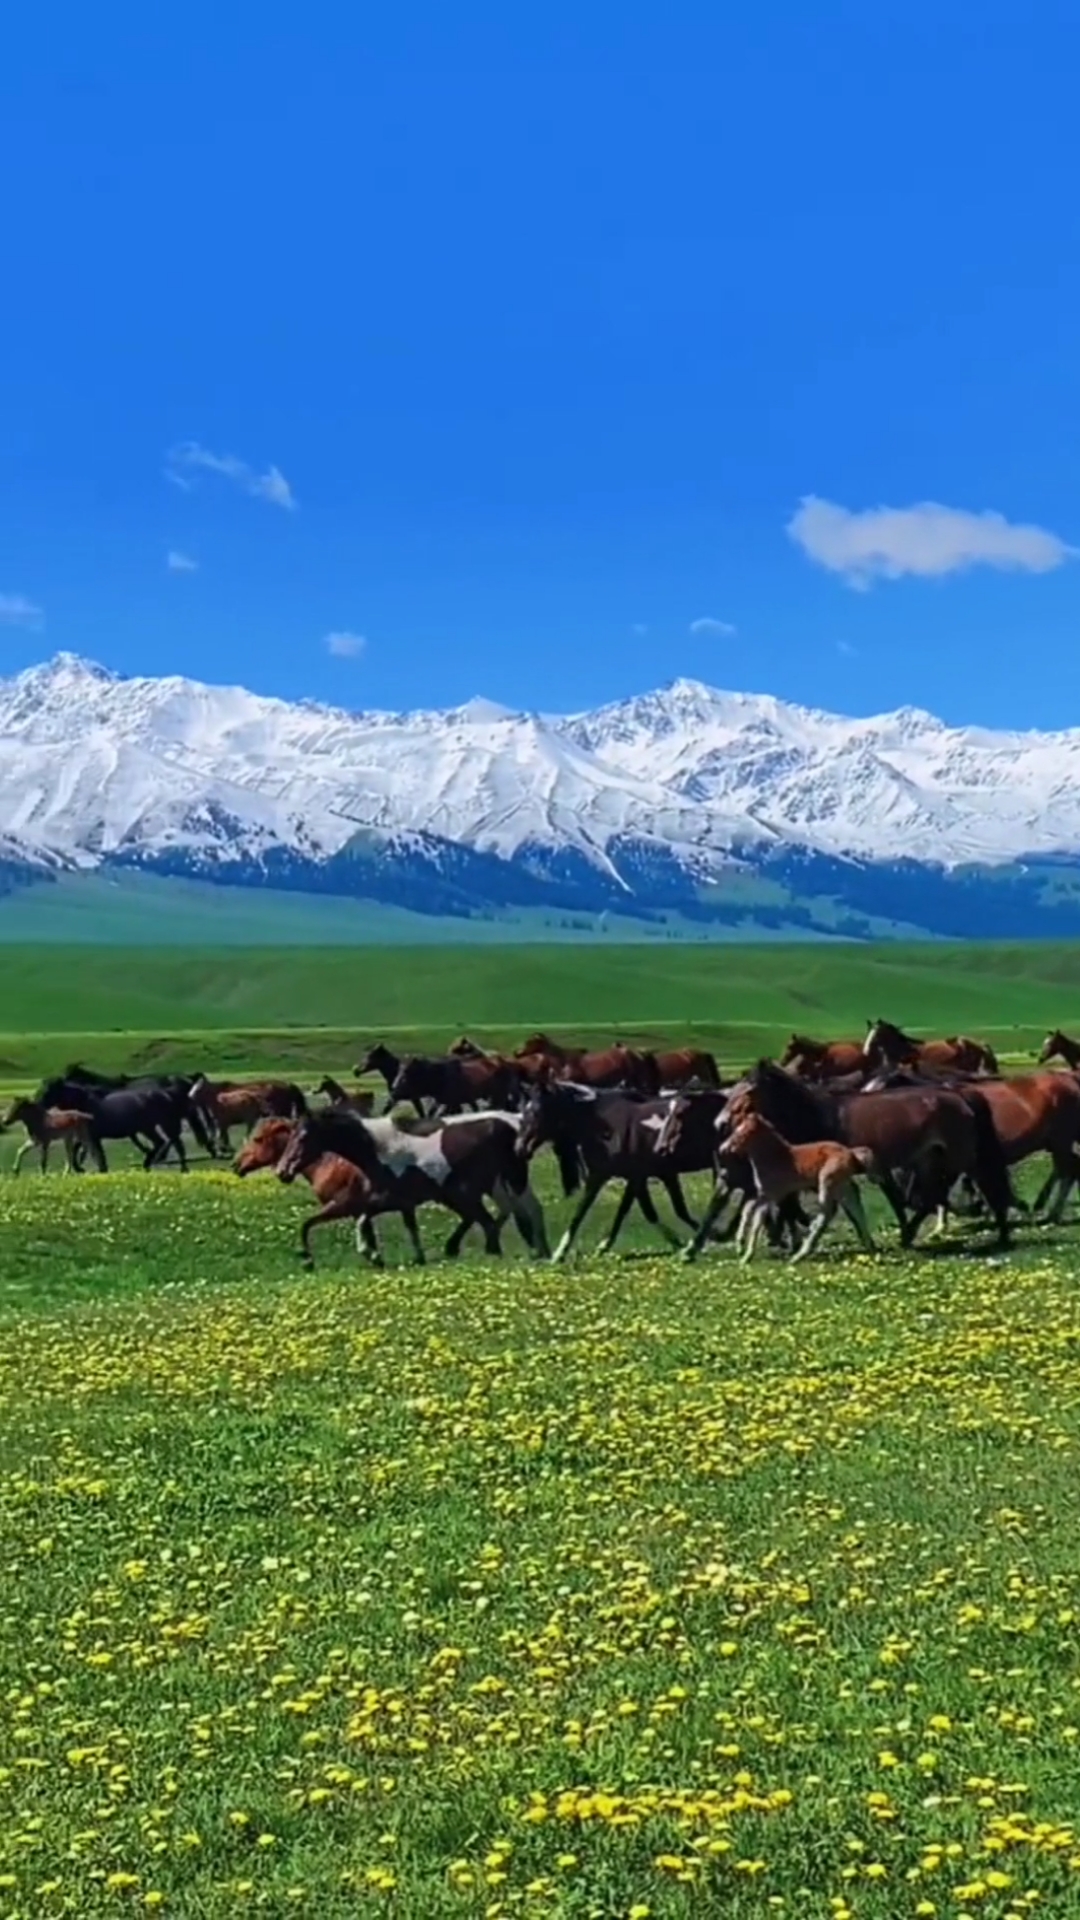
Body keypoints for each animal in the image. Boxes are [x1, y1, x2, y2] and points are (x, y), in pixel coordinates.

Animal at [232, 1121, 424, 1267]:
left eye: (257, 1139)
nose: (235, 1164)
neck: (327, 1166)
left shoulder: (341, 1207)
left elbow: (306, 1224)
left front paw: (307, 1259)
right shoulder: (360, 1212)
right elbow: (369, 1237)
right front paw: (376, 1259)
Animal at [714, 1059, 1006, 1251]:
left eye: (749, 1090)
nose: (720, 1123)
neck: (821, 1117)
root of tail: (960, 1096)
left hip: (960, 1157)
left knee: (982, 1185)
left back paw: (1002, 1234)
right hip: (929, 1159)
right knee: (935, 1196)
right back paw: (909, 1233)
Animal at [718, 1121, 880, 1267]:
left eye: (740, 1133)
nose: (722, 1149)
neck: (775, 1158)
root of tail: (852, 1154)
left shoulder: (771, 1195)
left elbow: (756, 1221)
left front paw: (746, 1256)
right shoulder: (765, 1194)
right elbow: (747, 1210)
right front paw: (740, 1247)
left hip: (827, 1183)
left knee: (827, 1213)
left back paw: (800, 1254)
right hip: (841, 1185)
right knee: (855, 1205)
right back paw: (870, 1245)